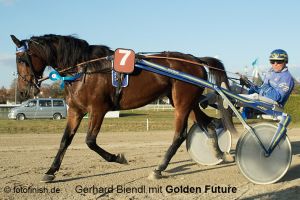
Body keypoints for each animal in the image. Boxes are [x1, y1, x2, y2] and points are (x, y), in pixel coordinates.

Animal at [10, 34, 236, 183]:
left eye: (22, 59)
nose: (22, 91)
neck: (84, 69)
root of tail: (195, 59)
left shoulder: (98, 109)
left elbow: (90, 141)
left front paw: (118, 158)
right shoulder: (75, 111)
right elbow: (65, 141)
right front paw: (51, 171)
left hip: (182, 104)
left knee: (180, 134)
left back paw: (159, 168)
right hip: (187, 102)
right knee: (209, 123)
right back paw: (219, 153)